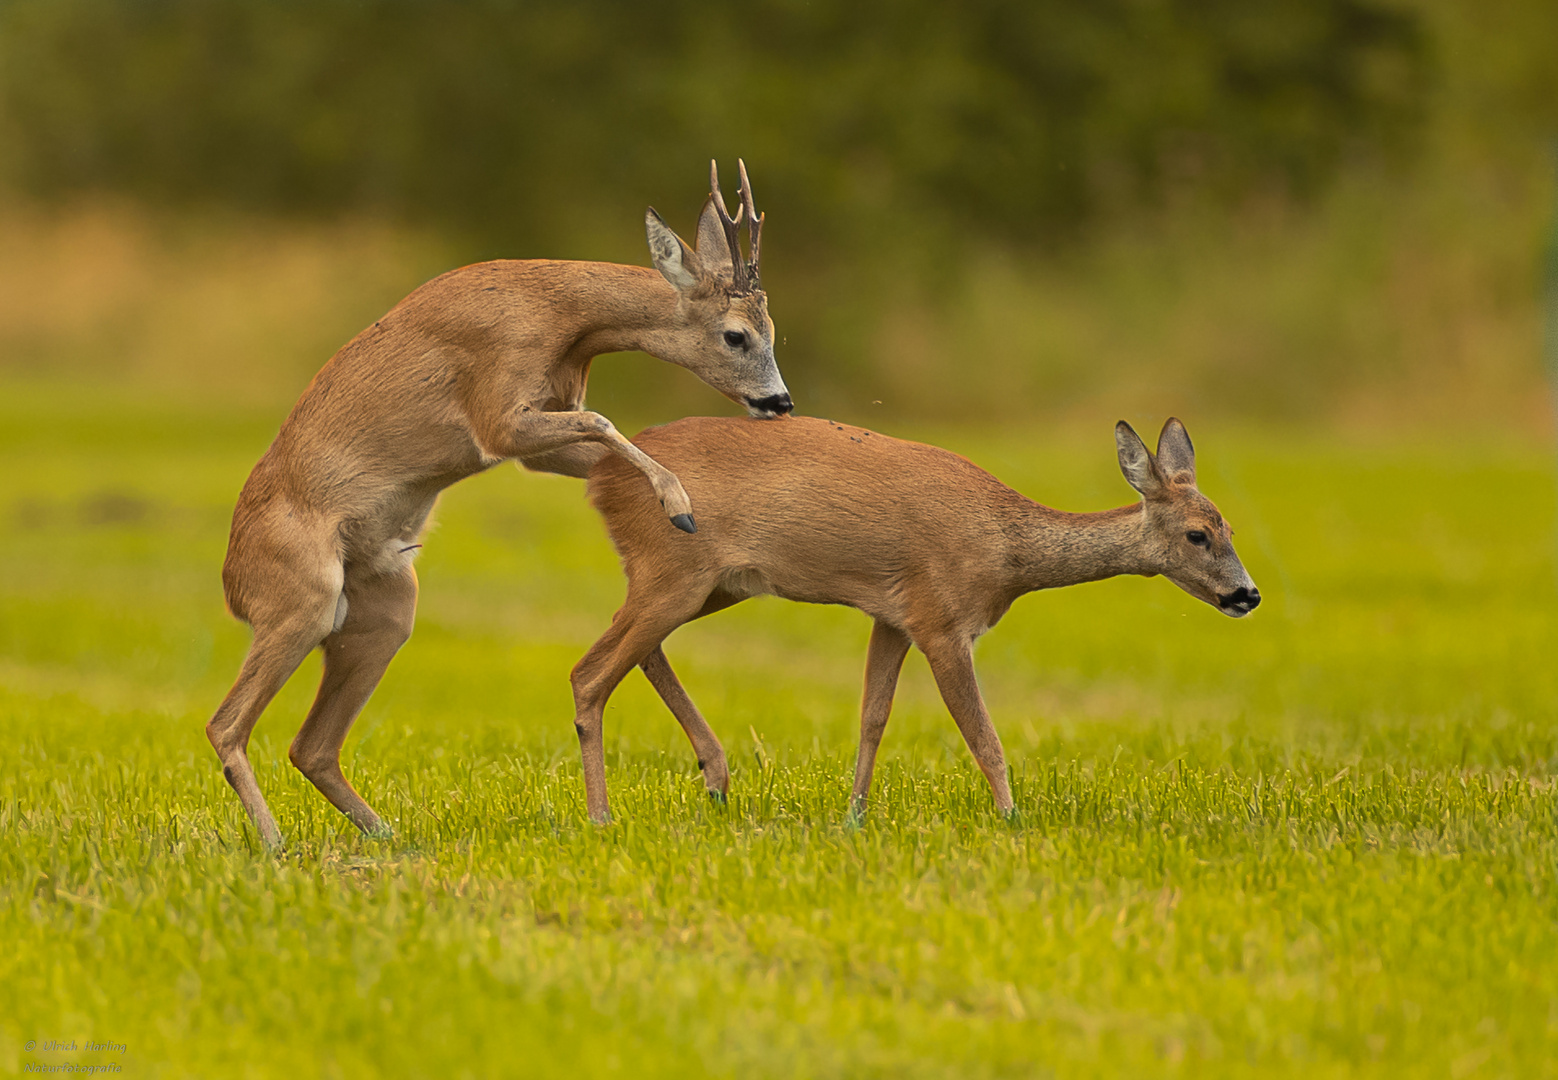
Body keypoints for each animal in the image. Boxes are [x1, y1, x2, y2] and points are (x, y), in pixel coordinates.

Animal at [210, 162, 791, 854]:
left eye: (775, 331)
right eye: (736, 335)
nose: (780, 402)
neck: (561, 316)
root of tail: (232, 584)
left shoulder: (545, 423)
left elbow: (607, 437)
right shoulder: (499, 417)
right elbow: (604, 420)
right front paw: (678, 506)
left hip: (384, 611)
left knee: (311, 746)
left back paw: (390, 834)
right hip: (299, 600)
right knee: (226, 726)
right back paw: (275, 844)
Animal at [567, 411, 1258, 816]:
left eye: (1230, 526)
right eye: (1198, 534)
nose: (1247, 594)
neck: (1005, 552)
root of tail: (599, 478)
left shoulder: (892, 617)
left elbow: (873, 717)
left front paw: (854, 816)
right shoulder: (942, 620)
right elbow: (984, 736)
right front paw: (1012, 820)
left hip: (711, 584)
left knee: (637, 652)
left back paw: (714, 779)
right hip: (673, 569)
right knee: (589, 673)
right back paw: (603, 816)